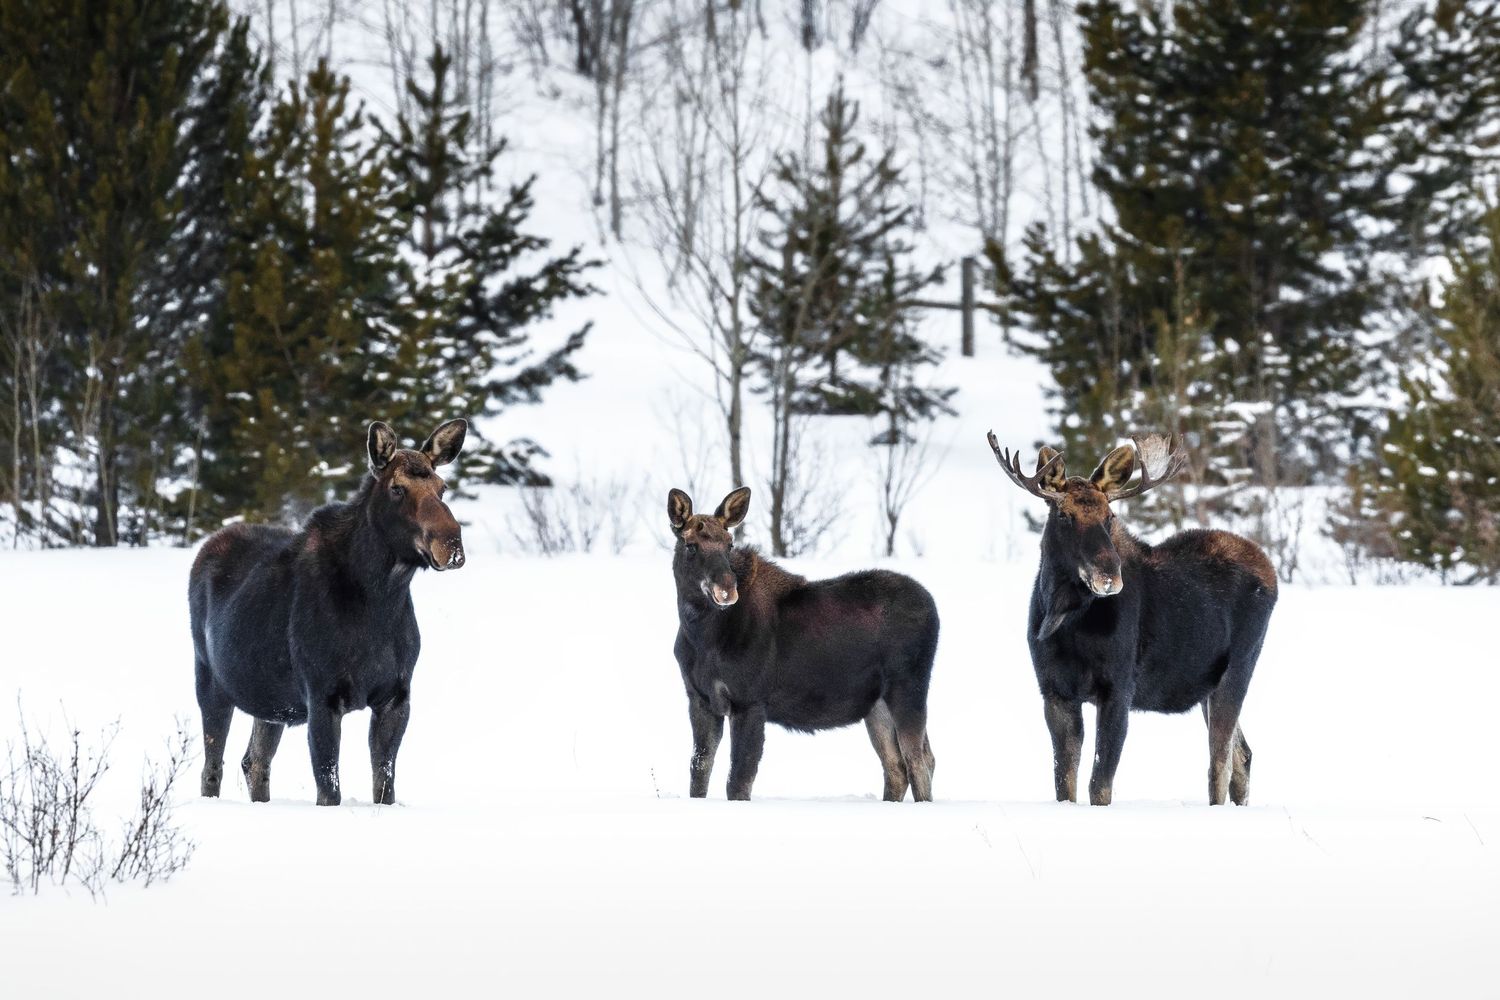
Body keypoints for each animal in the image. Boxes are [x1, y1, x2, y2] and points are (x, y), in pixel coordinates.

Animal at [190, 419, 468, 806]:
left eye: (442, 488)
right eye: (397, 488)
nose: (451, 543)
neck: (380, 599)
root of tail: (205, 548)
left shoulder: (397, 696)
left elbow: (384, 786)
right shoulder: (322, 696)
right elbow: (329, 789)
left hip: (270, 701)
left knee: (254, 761)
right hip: (209, 679)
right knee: (212, 767)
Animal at [667, 487, 940, 802]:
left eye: (729, 544)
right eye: (690, 546)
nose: (726, 589)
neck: (701, 635)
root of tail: (933, 608)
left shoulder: (749, 700)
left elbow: (738, 780)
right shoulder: (700, 698)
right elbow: (699, 770)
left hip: (909, 687)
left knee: (918, 760)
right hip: (877, 704)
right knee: (898, 765)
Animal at [987, 432, 1278, 806]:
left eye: (1110, 516)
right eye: (1064, 516)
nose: (1109, 575)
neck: (1065, 618)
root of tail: (1270, 570)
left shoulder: (1119, 688)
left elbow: (1099, 785)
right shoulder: (1055, 691)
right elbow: (1064, 784)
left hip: (1238, 669)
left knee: (1220, 763)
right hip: (1207, 687)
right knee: (1242, 756)